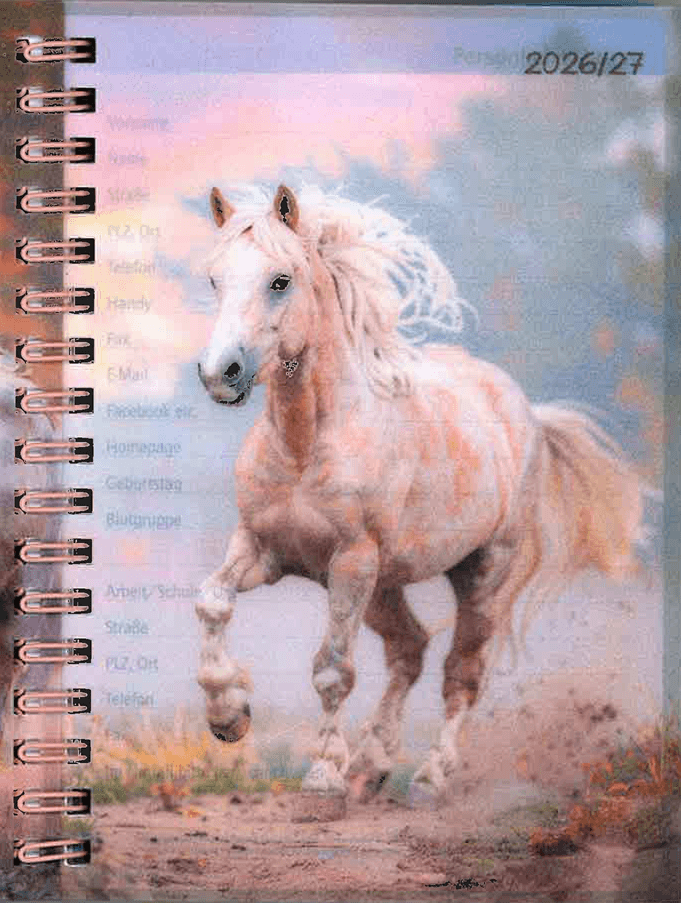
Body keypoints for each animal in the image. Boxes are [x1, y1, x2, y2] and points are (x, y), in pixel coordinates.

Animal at [195, 183, 644, 802]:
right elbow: (212, 602)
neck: (307, 445)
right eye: (214, 279)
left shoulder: (351, 562)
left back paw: (429, 776)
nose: (222, 373)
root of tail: (527, 414)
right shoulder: (264, 549)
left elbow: (333, 668)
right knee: (409, 651)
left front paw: (323, 773)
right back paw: (372, 764)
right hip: (384, 586)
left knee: (462, 673)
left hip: (480, 574)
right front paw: (229, 716)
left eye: (280, 280)